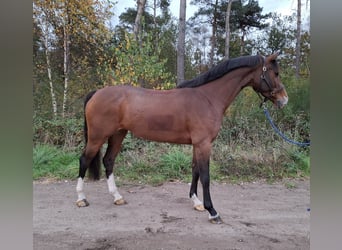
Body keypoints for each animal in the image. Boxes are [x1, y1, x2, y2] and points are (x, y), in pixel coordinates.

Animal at [75, 53, 288, 225]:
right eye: (276, 73)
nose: (284, 99)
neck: (208, 97)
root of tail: (97, 93)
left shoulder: (198, 144)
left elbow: (195, 171)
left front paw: (197, 202)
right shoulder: (203, 144)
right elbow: (206, 176)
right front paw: (213, 212)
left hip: (118, 134)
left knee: (108, 160)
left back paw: (117, 197)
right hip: (97, 136)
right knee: (84, 160)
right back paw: (81, 199)